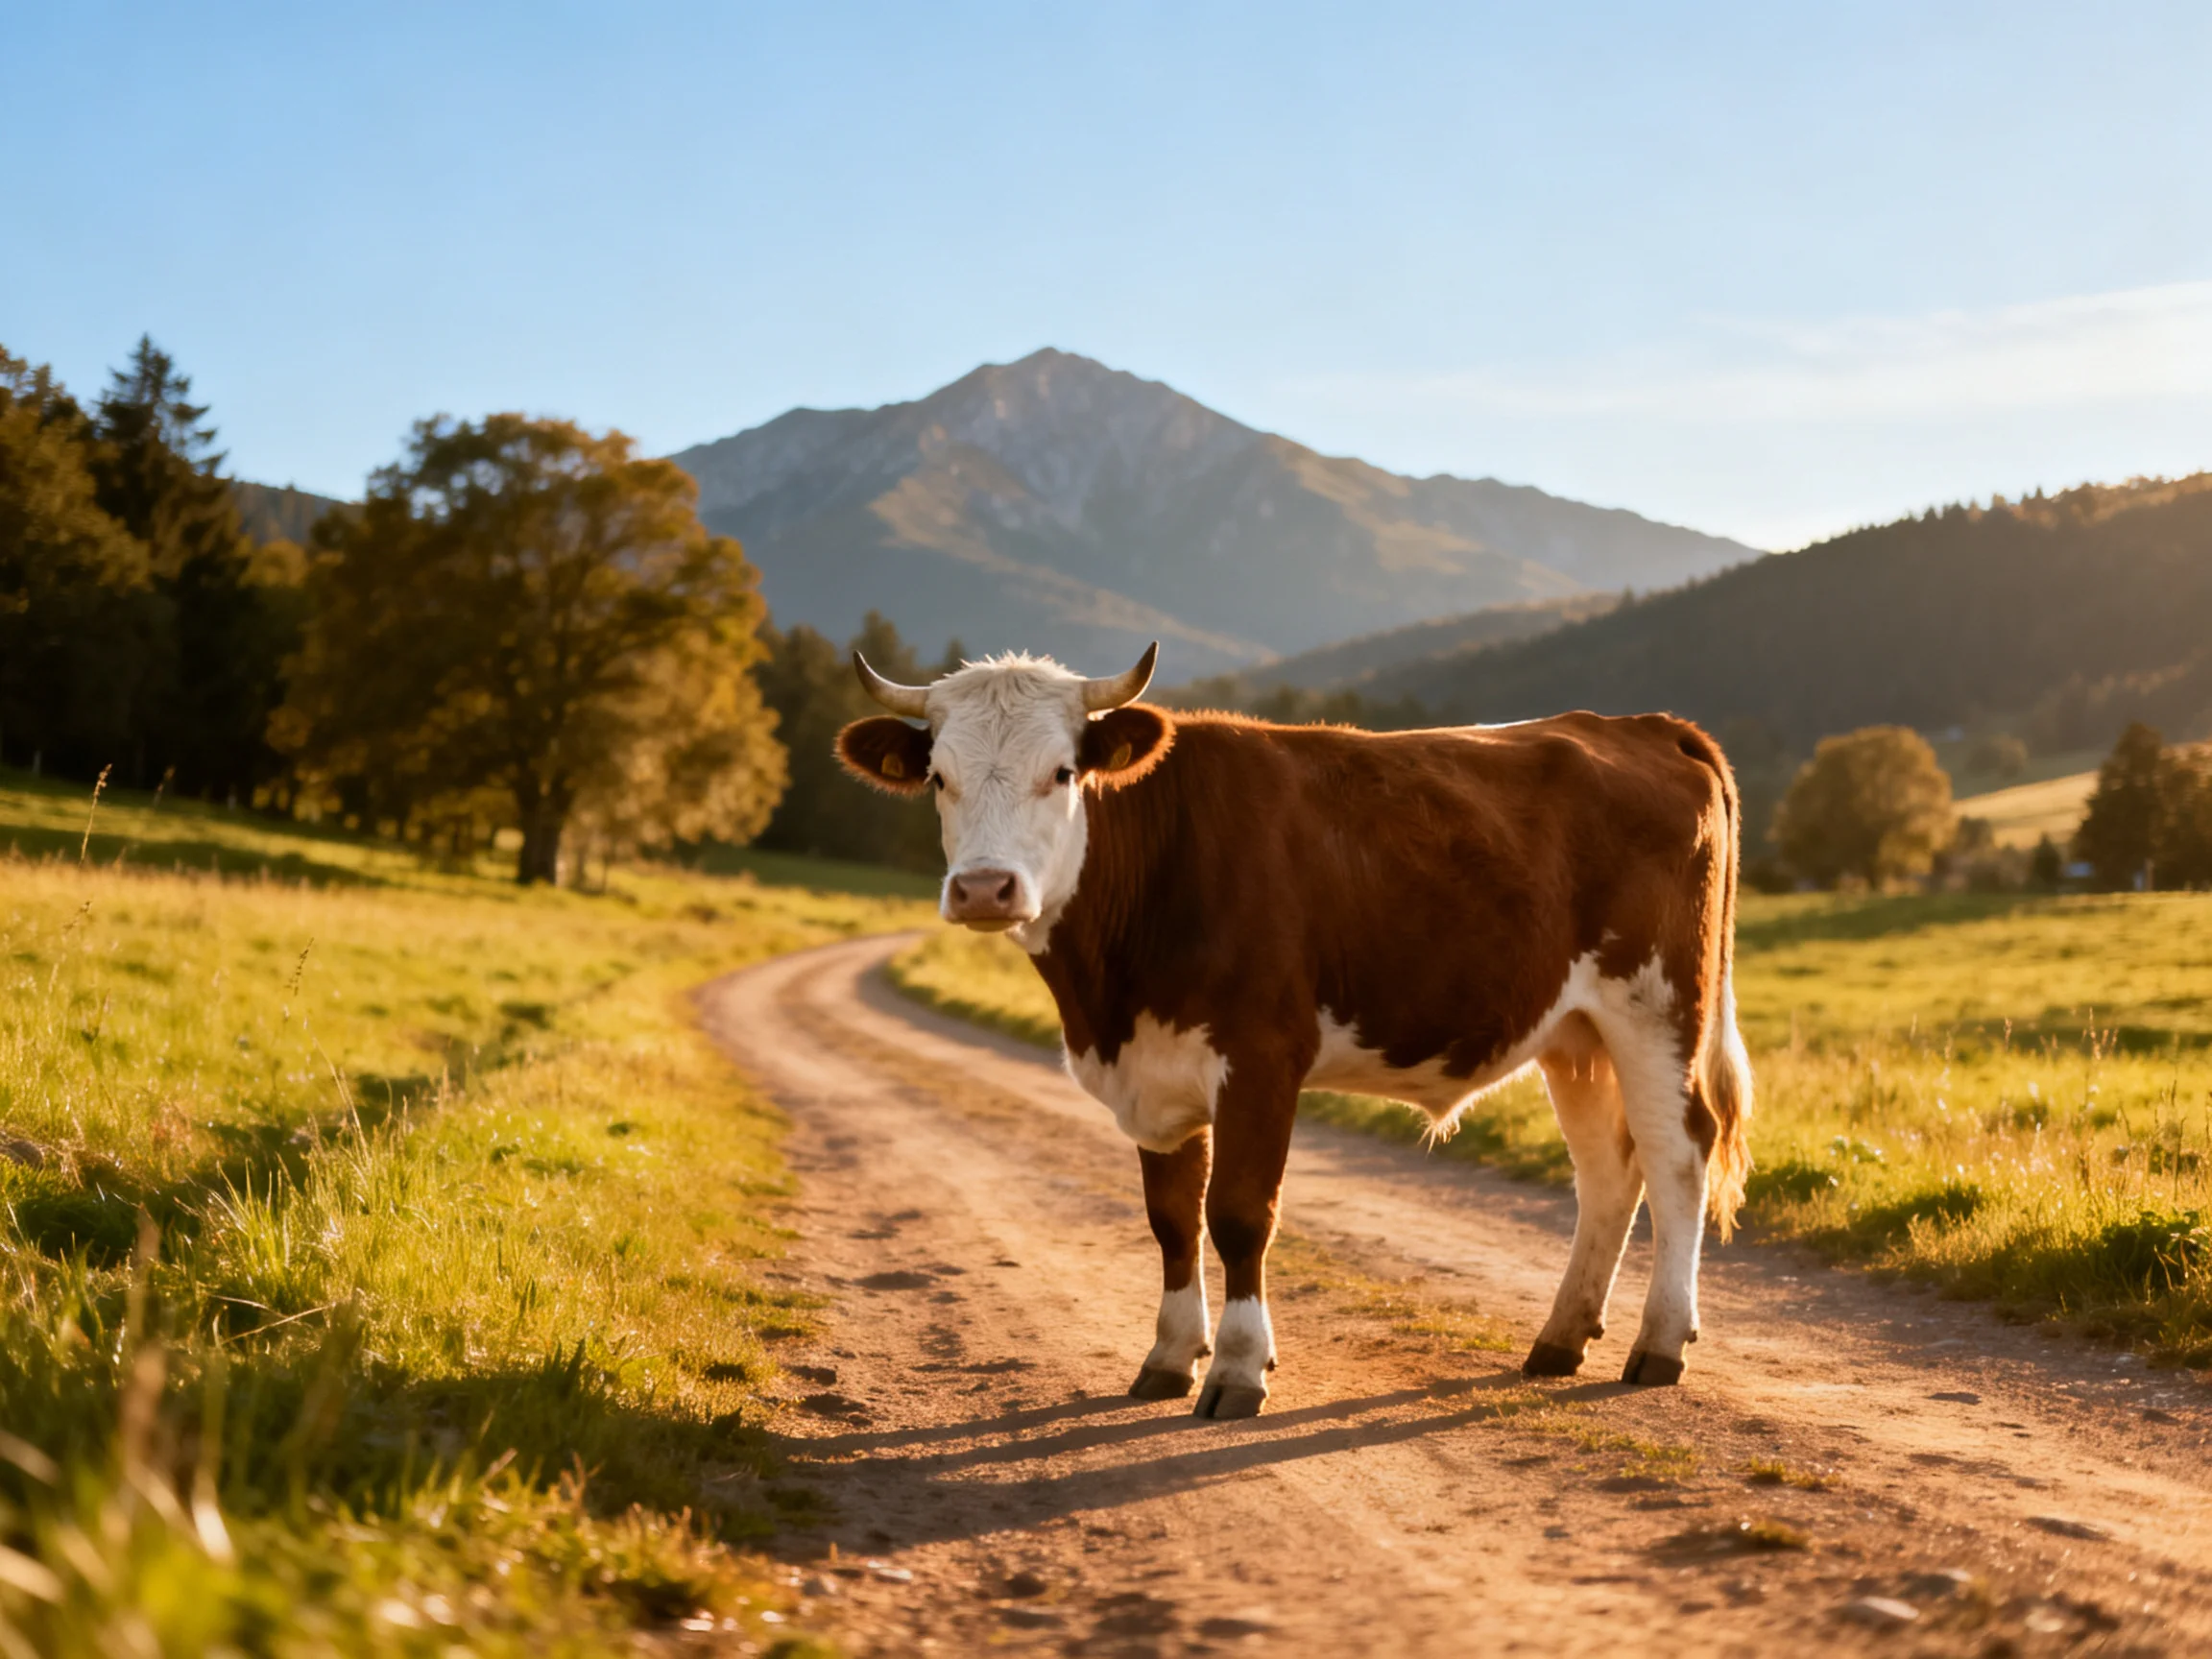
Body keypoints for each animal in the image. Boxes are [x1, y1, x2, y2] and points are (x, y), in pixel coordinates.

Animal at [836, 644, 1753, 1419]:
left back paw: (1660, 1343)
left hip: (1657, 1006)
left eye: (1061, 774)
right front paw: (1169, 1358)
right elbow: (1171, 1218)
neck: (1111, 994)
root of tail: (1642, 726)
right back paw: (1560, 1339)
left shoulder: (1263, 1057)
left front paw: (1240, 1369)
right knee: (1607, 1171)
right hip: (1576, 1033)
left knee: (1678, 1155)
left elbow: (1240, 1213)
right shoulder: (1154, 1075)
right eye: (939, 778)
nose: (984, 888)